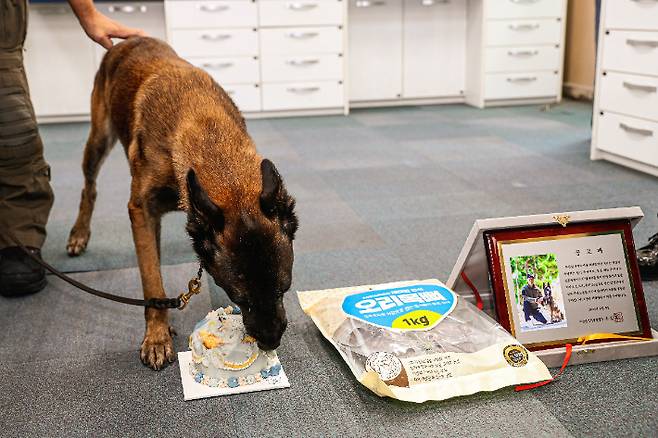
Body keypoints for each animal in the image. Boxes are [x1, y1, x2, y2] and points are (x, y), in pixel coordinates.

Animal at [64, 37, 298, 372]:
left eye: (284, 289)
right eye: (239, 297)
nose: (271, 342)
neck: (204, 126)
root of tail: (127, 41)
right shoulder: (141, 211)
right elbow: (152, 282)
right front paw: (157, 336)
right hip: (97, 141)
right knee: (89, 189)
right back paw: (79, 234)